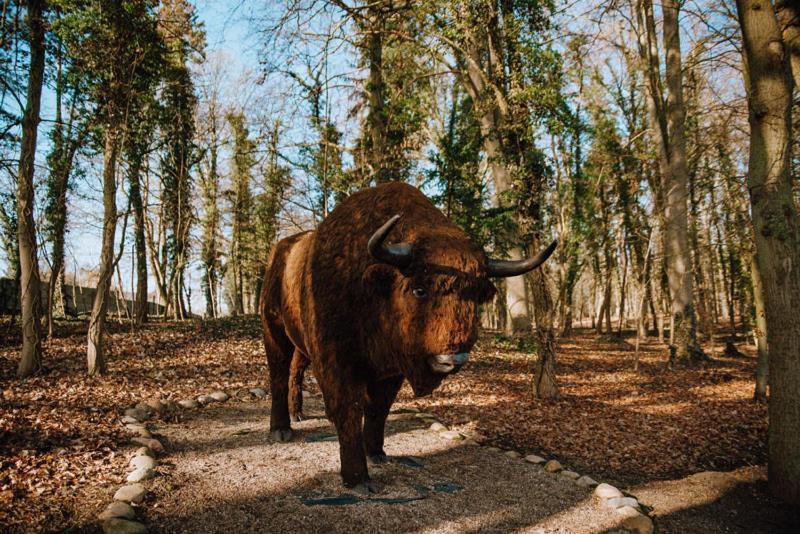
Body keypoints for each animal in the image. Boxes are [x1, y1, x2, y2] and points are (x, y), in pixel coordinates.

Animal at [260, 182, 556, 492]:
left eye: (475, 296)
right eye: (419, 289)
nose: (452, 359)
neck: (373, 287)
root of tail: (281, 250)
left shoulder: (391, 371)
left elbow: (378, 409)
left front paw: (377, 454)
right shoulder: (336, 362)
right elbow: (349, 410)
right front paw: (358, 479)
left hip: (300, 343)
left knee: (295, 370)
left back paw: (298, 414)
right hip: (273, 328)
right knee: (278, 373)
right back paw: (281, 429)